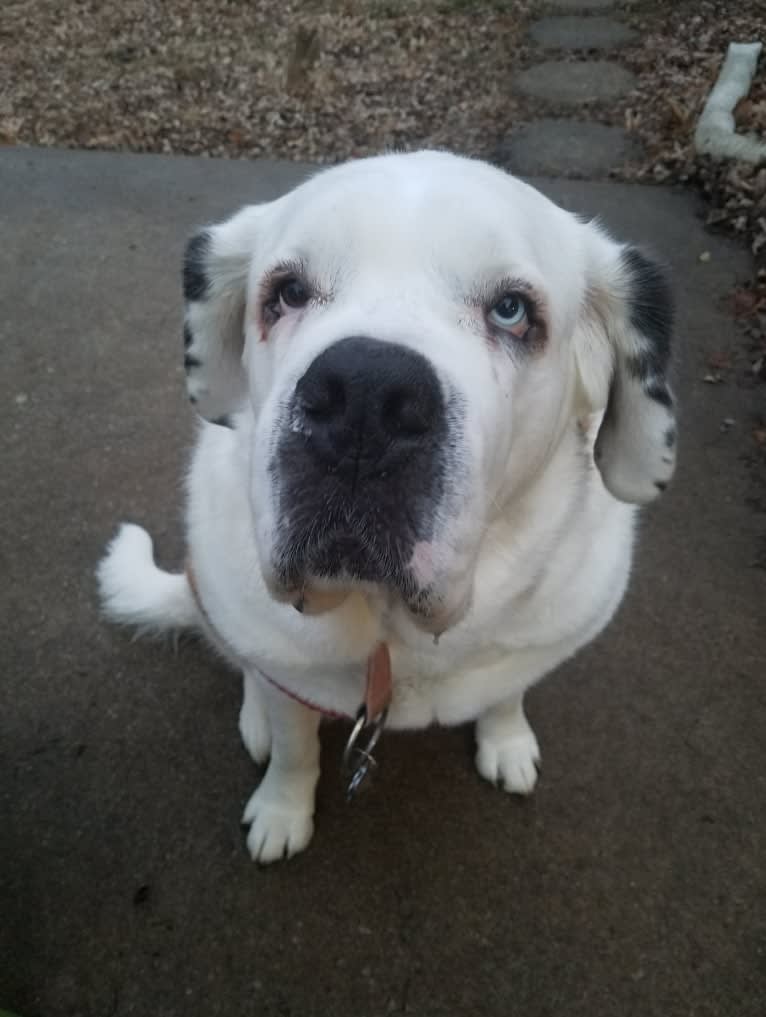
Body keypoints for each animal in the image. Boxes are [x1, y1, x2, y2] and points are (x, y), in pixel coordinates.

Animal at [97, 148, 675, 866]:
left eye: (512, 310)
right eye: (288, 292)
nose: (365, 398)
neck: (392, 639)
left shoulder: (540, 639)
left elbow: (508, 692)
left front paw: (507, 742)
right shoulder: (286, 669)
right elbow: (293, 747)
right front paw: (282, 811)